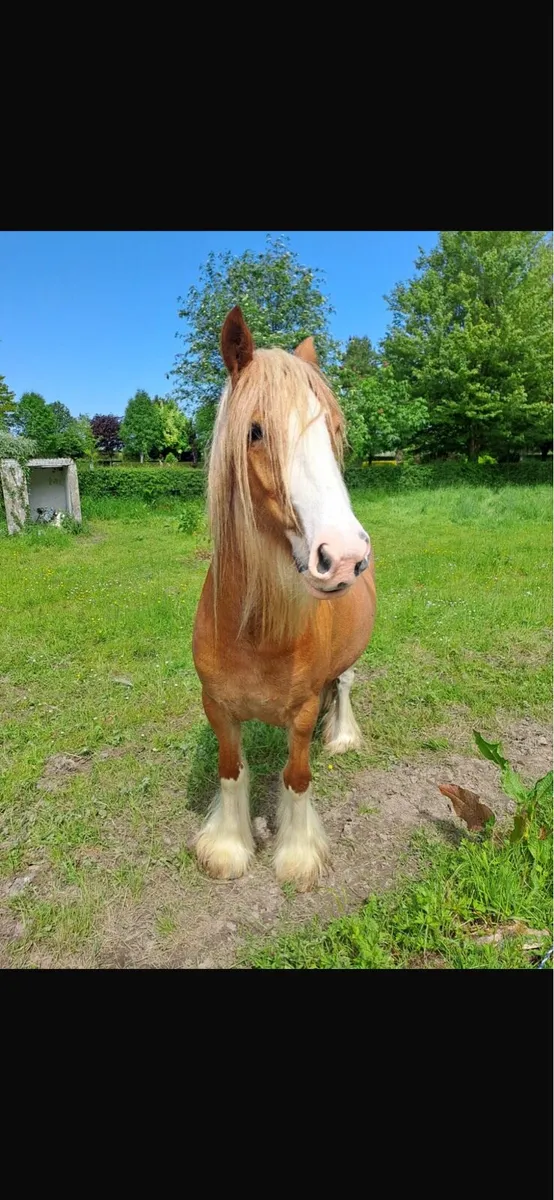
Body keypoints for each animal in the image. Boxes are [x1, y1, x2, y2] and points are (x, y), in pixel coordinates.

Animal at [192, 306, 376, 891]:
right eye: (255, 431)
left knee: (345, 684)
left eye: (335, 431)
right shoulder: (217, 706)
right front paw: (229, 846)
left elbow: (297, 775)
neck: (255, 631)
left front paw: (296, 855)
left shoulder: (300, 711)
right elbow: (231, 770)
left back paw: (341, 735)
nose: (344, 556)